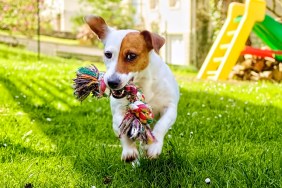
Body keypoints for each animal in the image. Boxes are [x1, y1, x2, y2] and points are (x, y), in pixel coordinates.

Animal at [85, 15, 180, 162]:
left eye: (131, 56)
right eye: (108, 54)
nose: (112, 82)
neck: (144, 84)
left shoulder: (169, 107)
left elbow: (161, 125)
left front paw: (154, 146)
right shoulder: (119, 111)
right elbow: (123, 127)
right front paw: (129, 150)